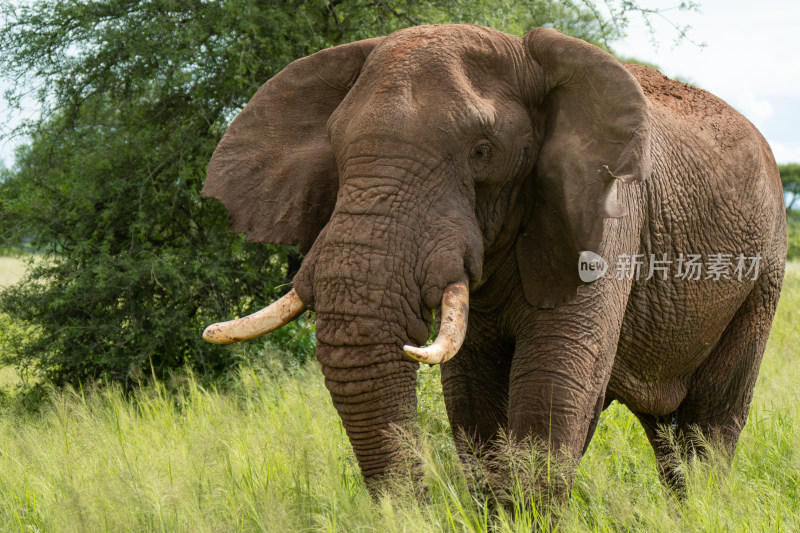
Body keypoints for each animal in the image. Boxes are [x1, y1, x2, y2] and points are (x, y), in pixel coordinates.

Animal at [200, 23, 788, 502]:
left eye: (482, 152)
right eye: (336, 150)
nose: (416, 510)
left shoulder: (612, 211)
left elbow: (553, 380)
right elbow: (472, 393)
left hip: (762, 274)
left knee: (709, 421)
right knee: (665, 429)